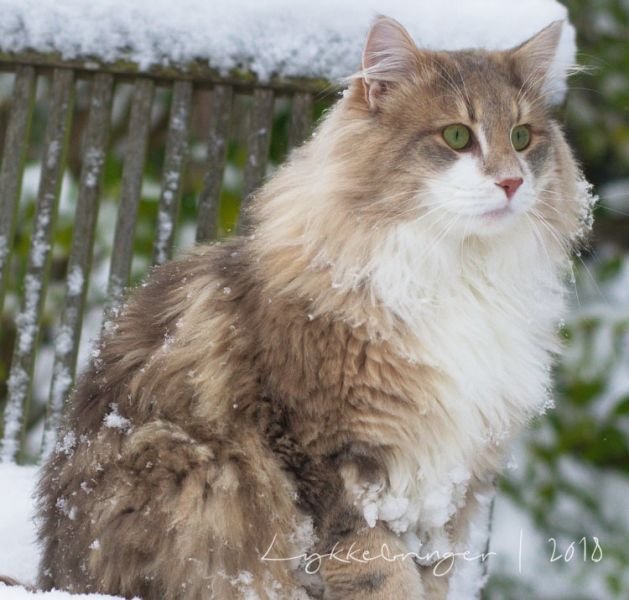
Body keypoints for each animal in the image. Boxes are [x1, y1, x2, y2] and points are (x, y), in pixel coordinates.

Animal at [35, 14, 592, 600]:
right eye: (457, 136)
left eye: (522, 137)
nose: (511, 181)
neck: (458, 273)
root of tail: (55, 573)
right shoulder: (334, 457)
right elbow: (380, 572)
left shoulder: (450, 487)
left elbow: (428, 577)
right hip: (190, 472)